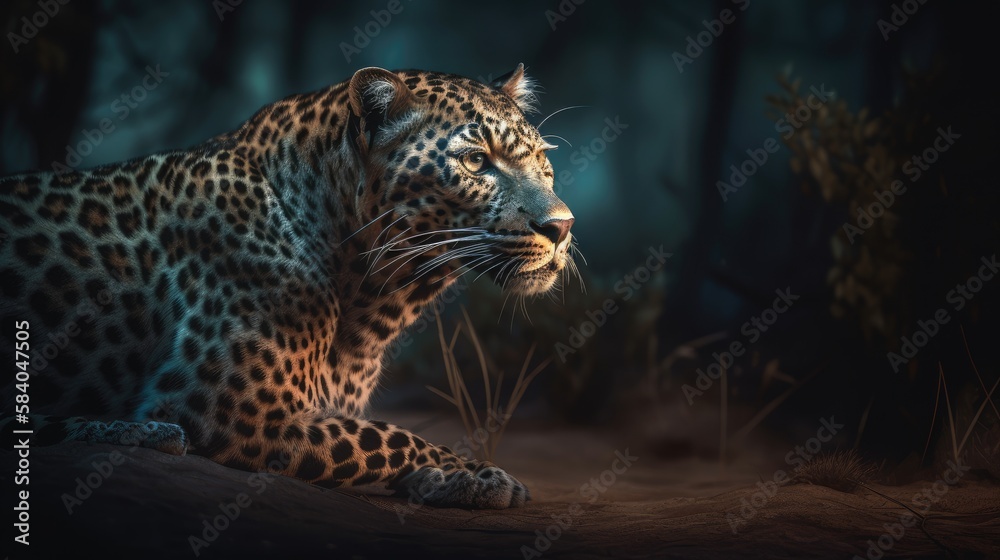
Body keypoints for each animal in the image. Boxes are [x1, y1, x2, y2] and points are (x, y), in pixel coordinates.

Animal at [0, 64, 578, 509]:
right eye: (476, 161)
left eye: (541, 161)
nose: (562, 226)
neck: (375, 296)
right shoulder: (235, 412)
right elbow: (385, 437)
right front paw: (477, 474)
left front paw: (449, 477)